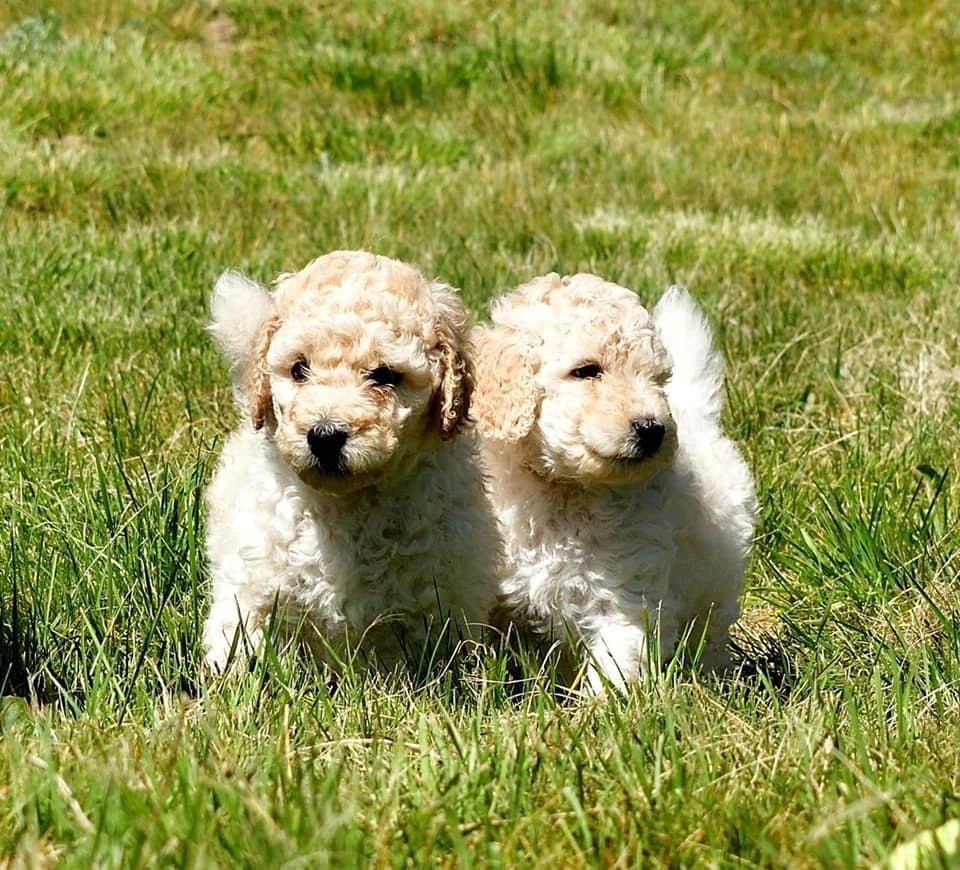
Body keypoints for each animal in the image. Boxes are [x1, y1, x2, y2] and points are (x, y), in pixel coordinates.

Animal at [205, 252, 498, 676]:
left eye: (385, 375)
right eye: (299, 369)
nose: (324, 436)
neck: (345, 504)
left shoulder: (437, 598)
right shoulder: (253, 578)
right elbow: (240, 639)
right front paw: (232, 683)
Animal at [472, 274, 756, 696]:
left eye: (658, 379)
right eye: (586, 371)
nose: (653, 429)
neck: (565, 489)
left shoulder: (626, 596)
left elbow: (617, 663)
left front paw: (599, 710)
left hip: (717, 582)